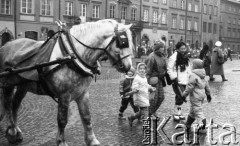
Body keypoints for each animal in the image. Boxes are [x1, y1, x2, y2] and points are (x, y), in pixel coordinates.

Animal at [0, 18, 133, 145]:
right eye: (123, 43)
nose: (129, 67)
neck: (72, 54)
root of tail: (6, 45)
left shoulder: (83, 93)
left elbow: (86, 116)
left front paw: (92, 140)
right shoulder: (64, 95)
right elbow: (62, 120)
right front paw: (61, 141)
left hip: (23, 85)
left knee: (15, 104)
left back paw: (16, 130)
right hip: (7, 84)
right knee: (7, 104)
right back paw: (12, 132)